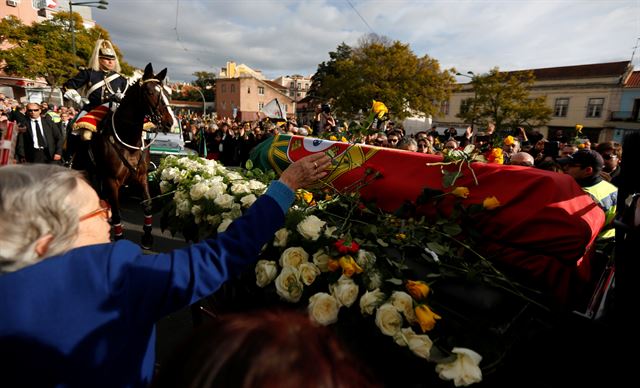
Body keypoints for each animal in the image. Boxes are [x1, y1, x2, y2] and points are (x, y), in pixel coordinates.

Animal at [86, 62, 175, 247]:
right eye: (149, 91)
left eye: (164, 92)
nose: (169, 122)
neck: (128, 140)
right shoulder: (111, 181)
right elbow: (116, 213)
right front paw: (119, 238)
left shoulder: (141, 176)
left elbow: (147, 204)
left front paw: (147, 236)